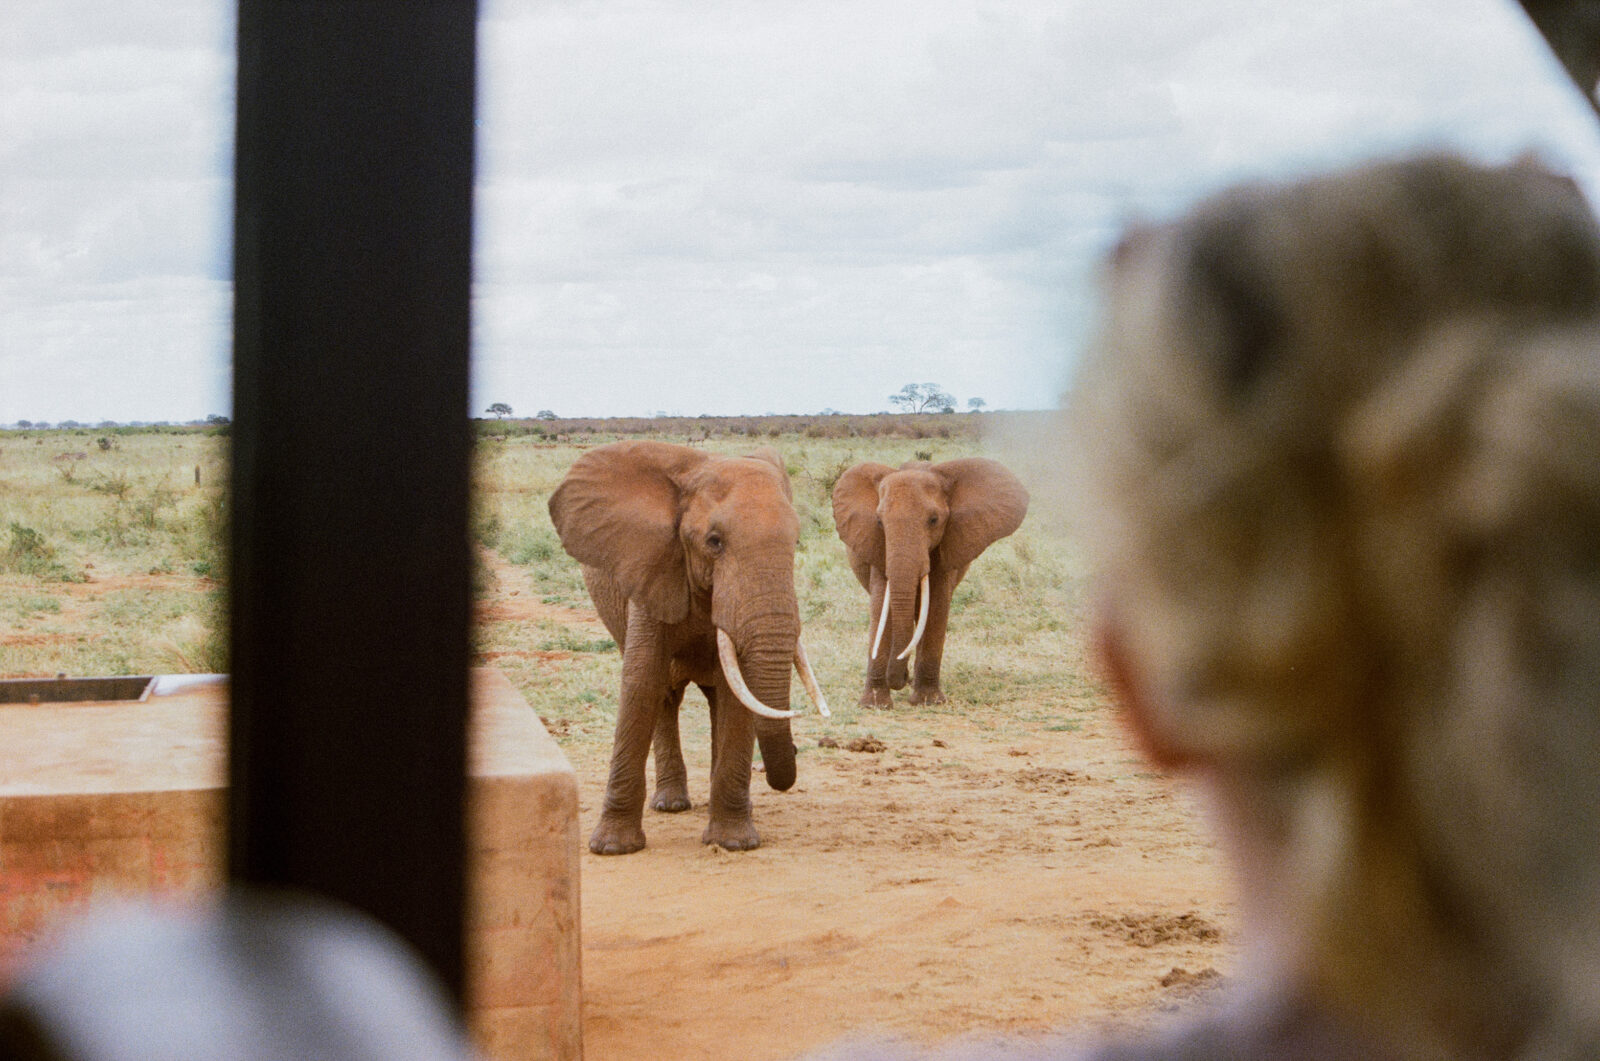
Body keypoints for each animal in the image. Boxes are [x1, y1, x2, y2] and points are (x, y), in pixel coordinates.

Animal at [548, 440, 830, 854]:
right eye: (714, 542)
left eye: (795, 542)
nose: (793, 752)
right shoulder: (651, 569)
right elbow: (641, 680)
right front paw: (613, 848)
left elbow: (737, 693)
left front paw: (734, 843)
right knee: (665, 694)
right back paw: (670, 805)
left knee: (714, 698)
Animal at [831, 458, 1029, 706]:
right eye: (879, 522)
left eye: (934, 520)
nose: (900, 679)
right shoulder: (877, 546)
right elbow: (880, 607)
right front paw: (875, 705)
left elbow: (936, 606)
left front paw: (928, 701)